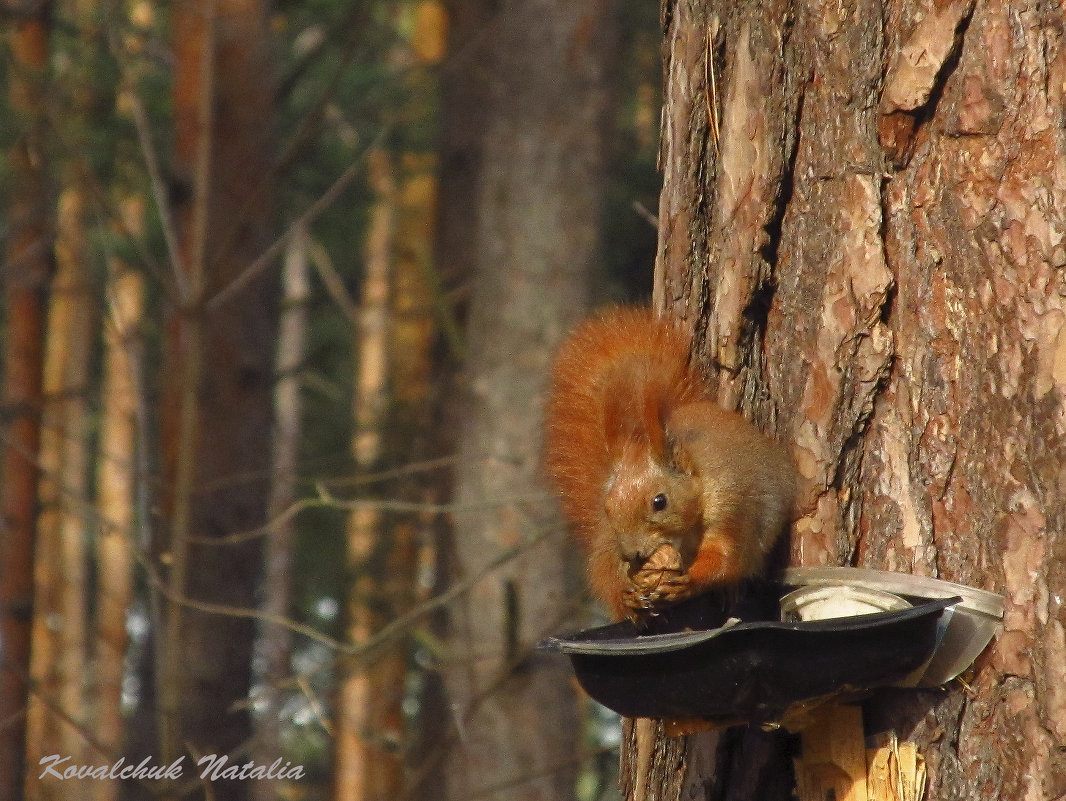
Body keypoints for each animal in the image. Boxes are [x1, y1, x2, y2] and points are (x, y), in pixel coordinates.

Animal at [545, 307, 797, 618]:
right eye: (608, 506)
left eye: (660, 502)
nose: (633, 554)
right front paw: (627, 590)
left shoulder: (733, 507)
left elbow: (726, 556)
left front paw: (687, 582)